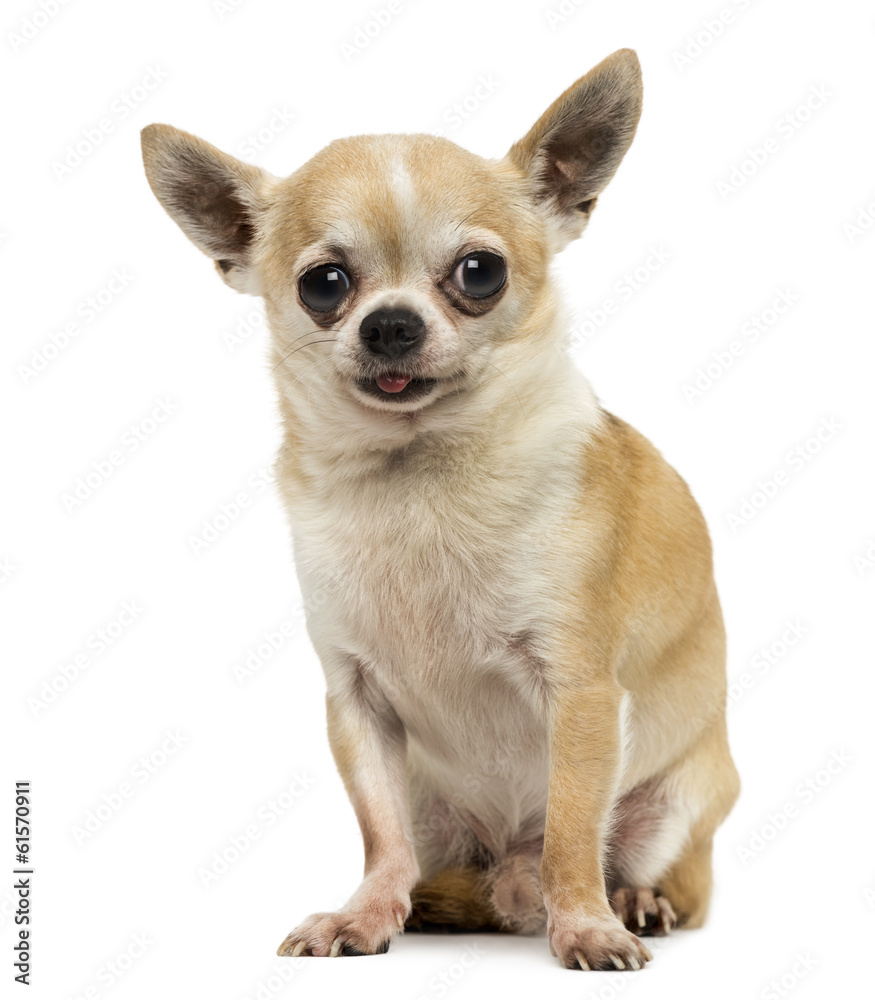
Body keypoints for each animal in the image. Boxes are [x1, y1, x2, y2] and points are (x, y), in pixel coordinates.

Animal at [142, 48, 740, 968]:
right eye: (323, 285)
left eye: (478, 274)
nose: (390, 324)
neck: (418, 479)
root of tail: (504, 876)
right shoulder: (356, 702)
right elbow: (378, 832)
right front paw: (364, 913)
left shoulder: (581, 693)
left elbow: (572, 831)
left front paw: (585, 923)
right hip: (442, 816)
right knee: (440, 862)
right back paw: (430, 901)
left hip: (681, 798)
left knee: (644, 869)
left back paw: (628, 900)